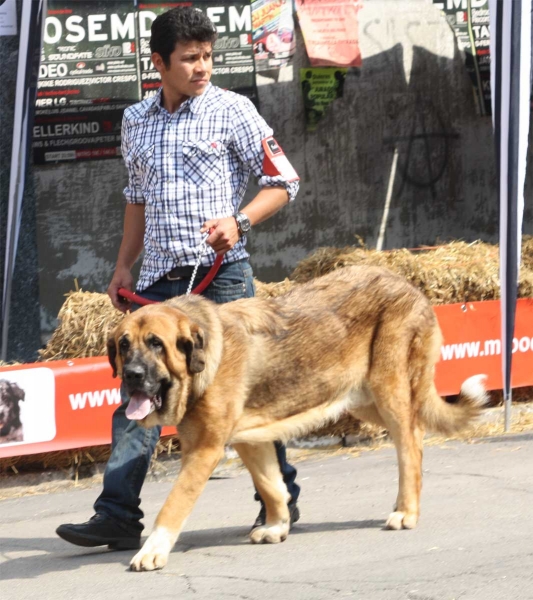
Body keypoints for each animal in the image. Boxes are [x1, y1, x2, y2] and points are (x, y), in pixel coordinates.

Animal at [106, 266, 484, 572]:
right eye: (124, 345)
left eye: (156, 343)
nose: (132, 375)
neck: (200, 363)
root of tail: (408, 284)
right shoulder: (249, 439)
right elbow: (272, 485)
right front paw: (277, 526)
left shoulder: (204, 450)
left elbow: (173, 504)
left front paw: (152, 550)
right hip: (363, 400)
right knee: (414, 431)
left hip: (388, 388)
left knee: (410, 444)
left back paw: (406, 511)